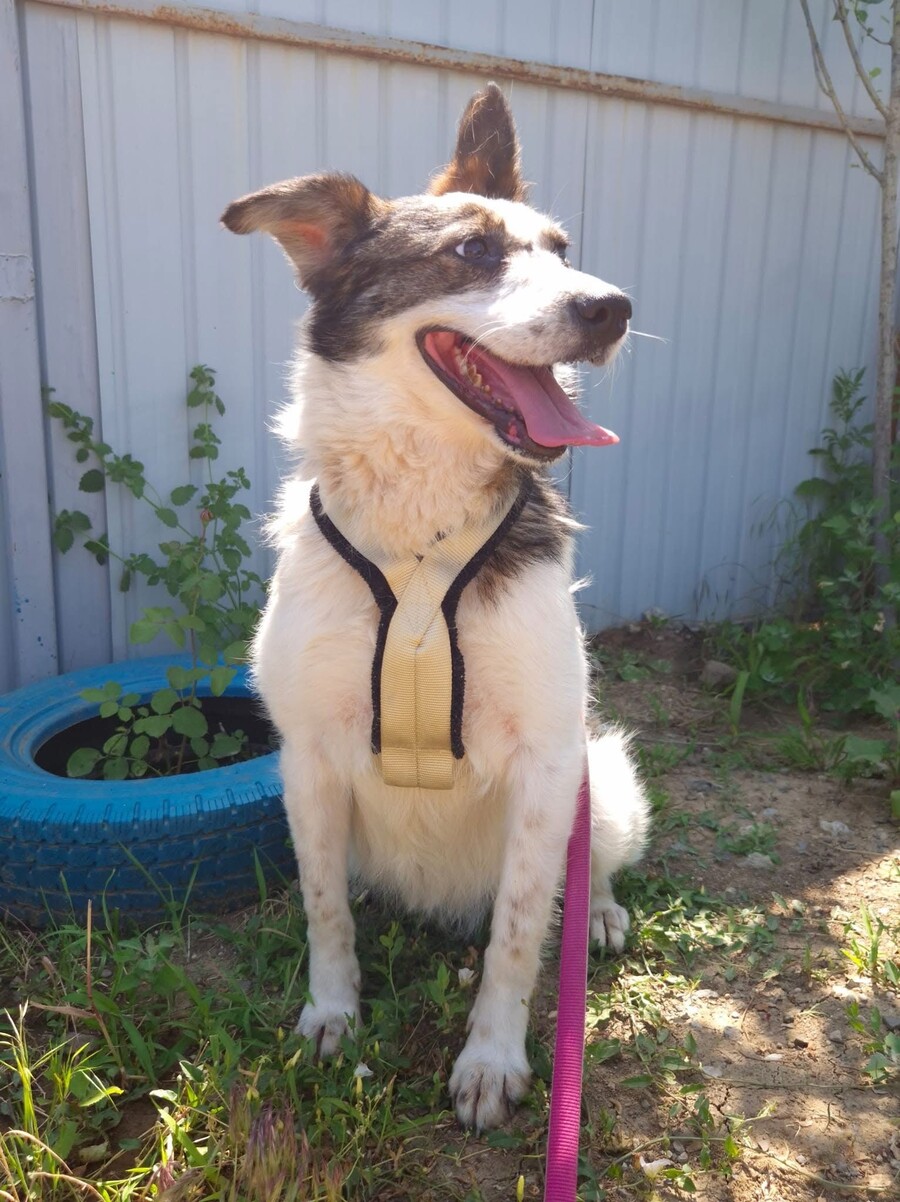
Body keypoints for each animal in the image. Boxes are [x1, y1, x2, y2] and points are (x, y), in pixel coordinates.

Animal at [222, 82, 649, 1132]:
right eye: (473, 253)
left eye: (563, 250)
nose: (613, 309)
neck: (420, 538)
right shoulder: (306, 757)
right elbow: (324, 910)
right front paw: (332, 1015)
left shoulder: (550, 762)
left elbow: (518, 939)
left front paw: (492, 1059)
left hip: (605, 774)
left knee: (588, 873)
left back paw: (599, 913)